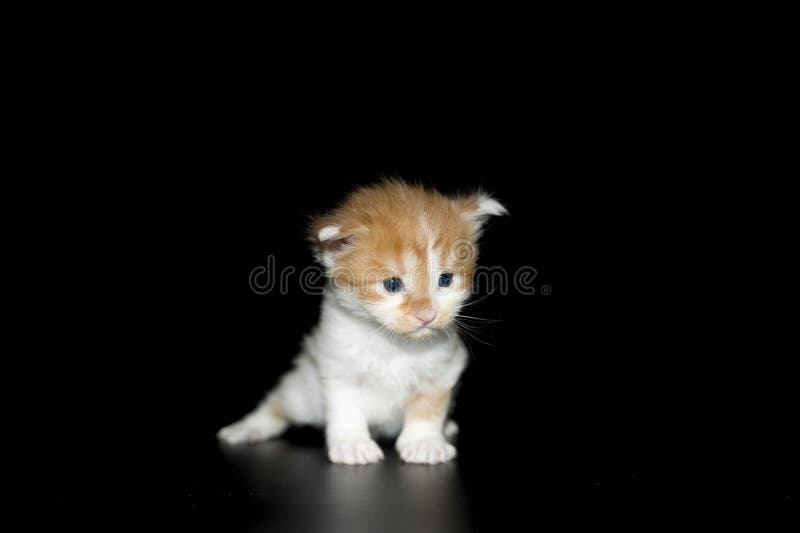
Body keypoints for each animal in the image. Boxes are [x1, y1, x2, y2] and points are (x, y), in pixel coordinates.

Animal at [217, 179, 506, 462]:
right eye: (392, 285)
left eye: (445, 280)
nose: (427, 315)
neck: (392, 342)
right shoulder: (336, 363)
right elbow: (346, 406)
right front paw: (352, 444)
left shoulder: (445, 367)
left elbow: (429, 405)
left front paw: (424, 442)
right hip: (305, 395)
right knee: (279, 403)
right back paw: (247, 428)